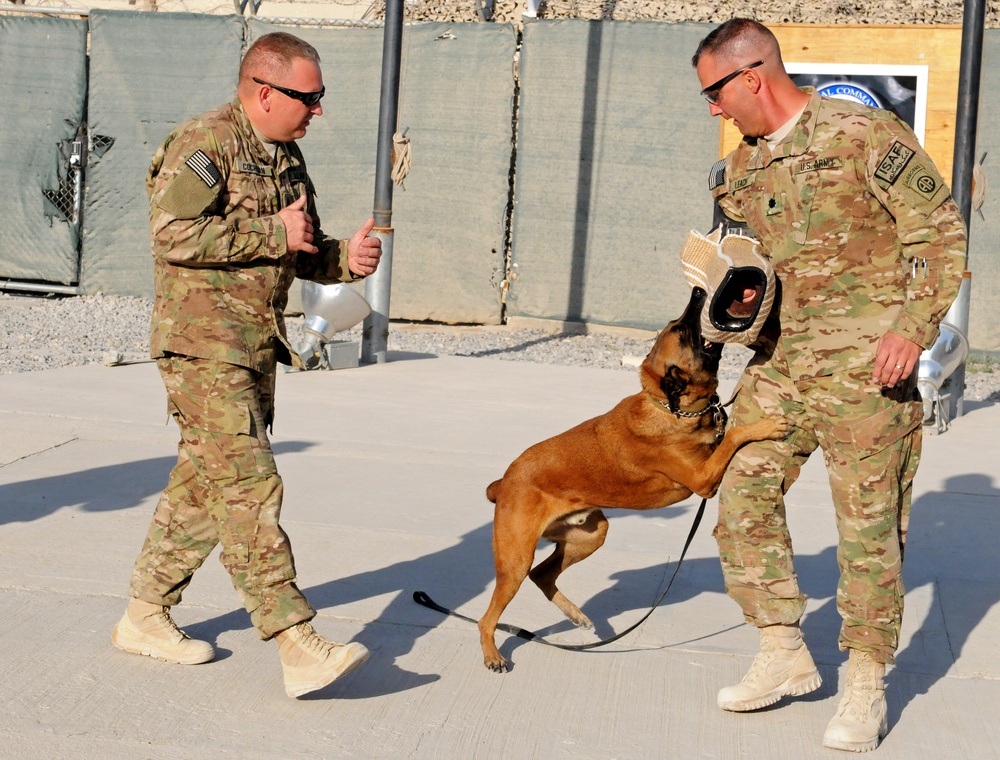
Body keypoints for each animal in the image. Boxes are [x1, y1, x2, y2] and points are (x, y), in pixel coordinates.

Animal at [476, 286, 788, 672]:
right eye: (682, 332)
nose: (699, 291)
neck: (670, 408)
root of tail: (504, 481)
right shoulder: (703, 479)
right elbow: (733, 436)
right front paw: (767, 425)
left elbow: (726, 433)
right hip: (515, 561)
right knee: (488, 616)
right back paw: (493, 655)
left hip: (591, 535)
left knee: (543, 575)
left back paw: (578, 616)